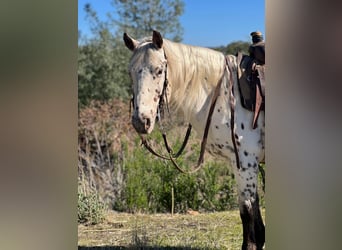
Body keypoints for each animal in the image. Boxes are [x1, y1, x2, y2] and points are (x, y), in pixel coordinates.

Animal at [124, 30, 266, 249]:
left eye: (159, 70)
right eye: (131, 72)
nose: (141, 121)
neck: (226, 94)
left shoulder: (246, 164)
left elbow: (249, 221)